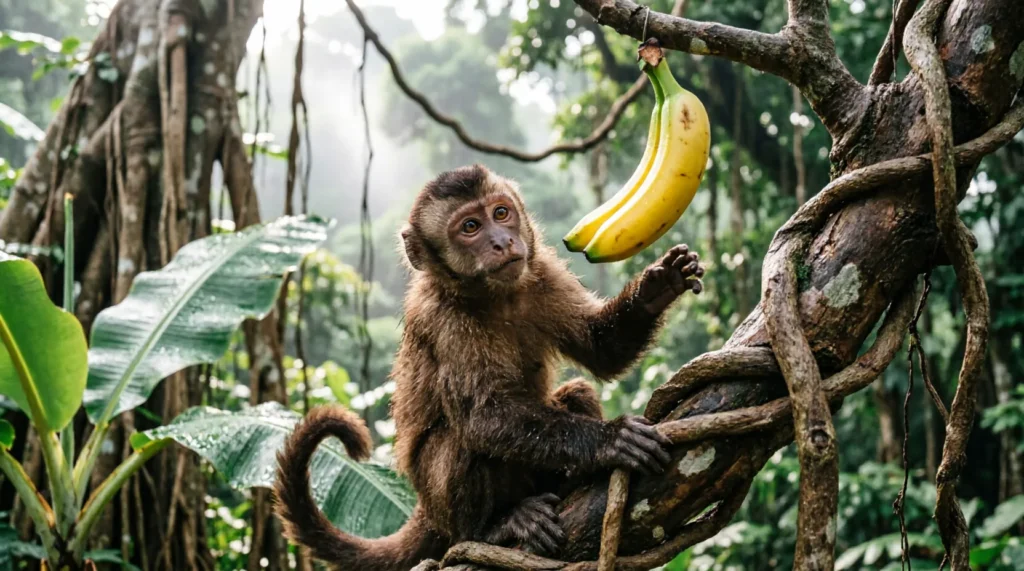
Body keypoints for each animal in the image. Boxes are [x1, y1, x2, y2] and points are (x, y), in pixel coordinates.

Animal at [274, 164, 705, 571]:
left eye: (501, 213)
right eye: (470, 227)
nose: (502, 241)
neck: (493, 296)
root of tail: (426, 512)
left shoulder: (542, 272)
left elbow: (602, 350)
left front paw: (659, 286)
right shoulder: (441, 319)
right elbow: (483, 419)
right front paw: (611, 440)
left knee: (576, 393)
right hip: (443, 506)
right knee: (463, 443)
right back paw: (493, 527)